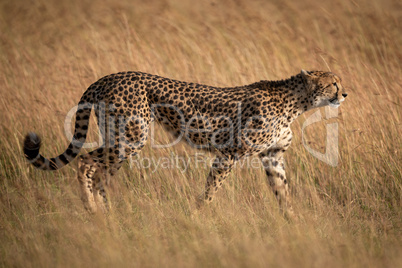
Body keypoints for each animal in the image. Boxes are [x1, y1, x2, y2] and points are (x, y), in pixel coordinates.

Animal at [23, 70, 348, 215]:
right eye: (332, 83)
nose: (345, 94)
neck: (296, 104)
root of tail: (109, 76)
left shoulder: (272, 156)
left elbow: (283, 193)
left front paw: (292, 223)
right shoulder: (229, 154)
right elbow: (211, 190)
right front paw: (199, 214)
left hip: (120, 139)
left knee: (101, 173)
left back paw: (106, 211)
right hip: (130, 138)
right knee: (87, 162)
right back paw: (92, 208)